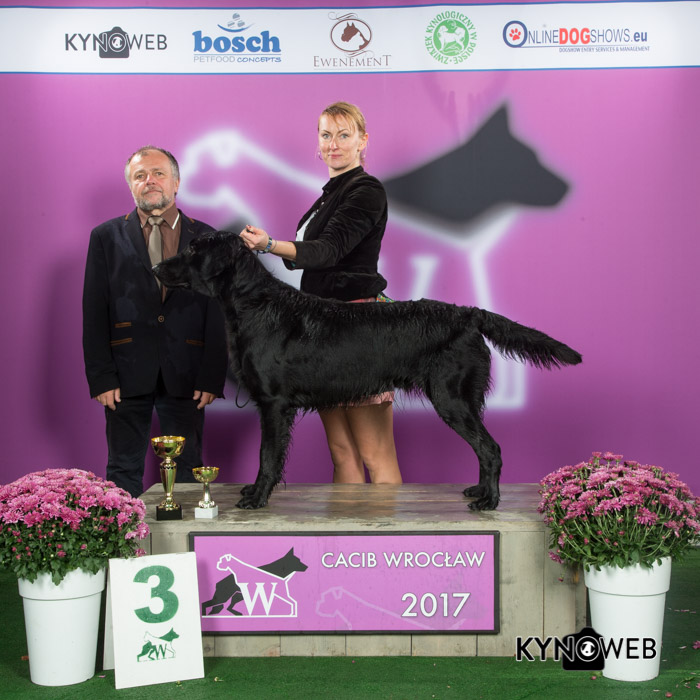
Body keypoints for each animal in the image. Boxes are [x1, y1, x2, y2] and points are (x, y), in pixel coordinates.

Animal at [154, 232, 581, 511]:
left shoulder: (274, 404)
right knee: (483, 448)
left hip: (451, 397)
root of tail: (468, 313)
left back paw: (490, 501)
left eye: (192, 248)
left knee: (490, 448)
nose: (156, 267)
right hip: (465, 399)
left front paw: (257, 497)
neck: (254, 304)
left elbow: (267, 456)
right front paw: (252, 493)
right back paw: (478, 491)